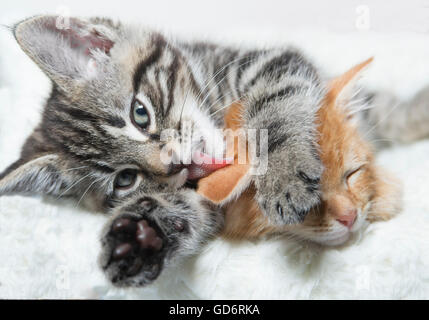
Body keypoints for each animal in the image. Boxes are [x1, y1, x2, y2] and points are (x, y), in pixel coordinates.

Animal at [0, 15, 428, 286]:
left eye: (140, 114)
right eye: (125, 180)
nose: (175, 164)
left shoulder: (270, 64)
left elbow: (275, 102)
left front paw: (284, 174)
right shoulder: (207, 195)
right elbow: (188, 209)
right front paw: (139, 236)